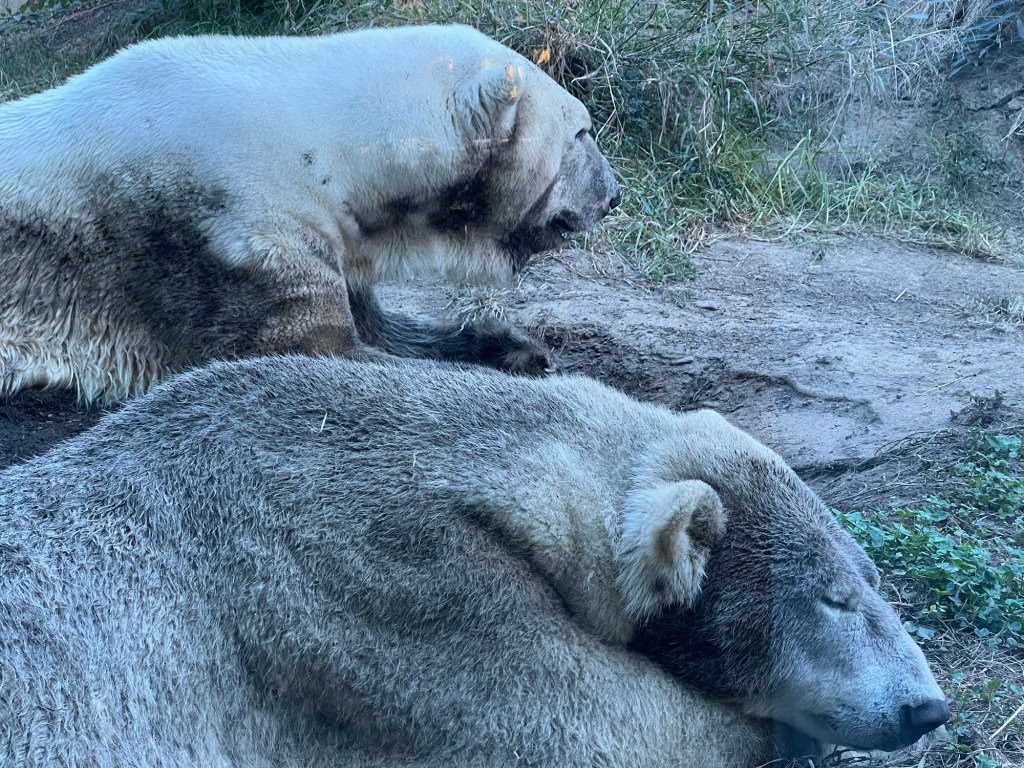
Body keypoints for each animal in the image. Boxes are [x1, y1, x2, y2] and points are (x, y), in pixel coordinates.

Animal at [0, 25, 620, 402]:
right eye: (582, 133)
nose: (613, 197)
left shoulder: (332, 232)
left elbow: (382, 327)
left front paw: (517, 347)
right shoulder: (236, 231)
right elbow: (318, 352)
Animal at [0, 356, 949, 766]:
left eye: (871, 581)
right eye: (832, 597)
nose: (925, 708)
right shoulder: (372, 580)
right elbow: (587, 724)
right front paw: (774, 735)